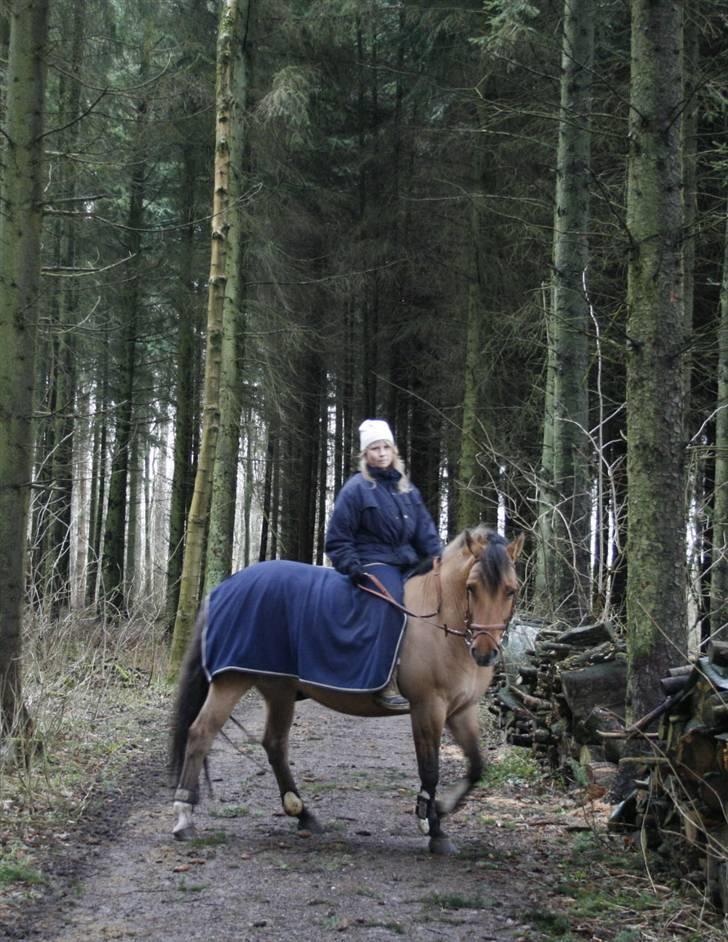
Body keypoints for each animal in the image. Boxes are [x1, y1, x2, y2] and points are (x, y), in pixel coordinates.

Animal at [169, 528, 524, 860]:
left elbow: (477, 765)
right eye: (471, 587)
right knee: (201, 734)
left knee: (274, 744)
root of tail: (225, 588)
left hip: (278, 688)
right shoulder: (428, 707)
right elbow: (430, 769)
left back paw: (303, 814)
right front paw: (432, 826)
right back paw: (184, 817)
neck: (440, 621)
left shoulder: (461, 710)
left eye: (511, 589)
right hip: (233, 680)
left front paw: (441, 809)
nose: (484, 653)